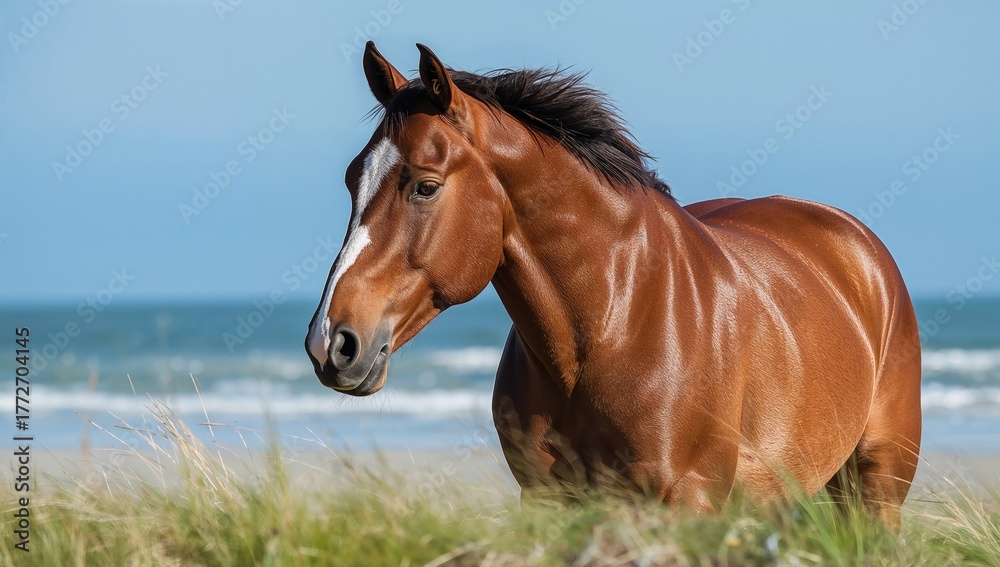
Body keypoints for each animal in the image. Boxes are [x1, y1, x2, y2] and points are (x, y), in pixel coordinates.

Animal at [305, 41, 921, 525]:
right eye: (353, 178)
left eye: (425, 186)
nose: (331, 343)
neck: (611, 323)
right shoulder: (550, 502)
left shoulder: (684, 505)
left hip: (874, 493)